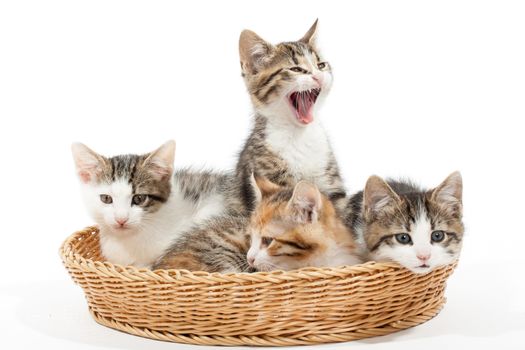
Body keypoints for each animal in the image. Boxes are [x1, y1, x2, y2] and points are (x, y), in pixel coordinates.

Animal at [235, 19, 346, 213]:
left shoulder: (332, 182)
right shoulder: (267, 173)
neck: (300, 134)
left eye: (321, 65)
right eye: (296, 69)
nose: (318, 76)